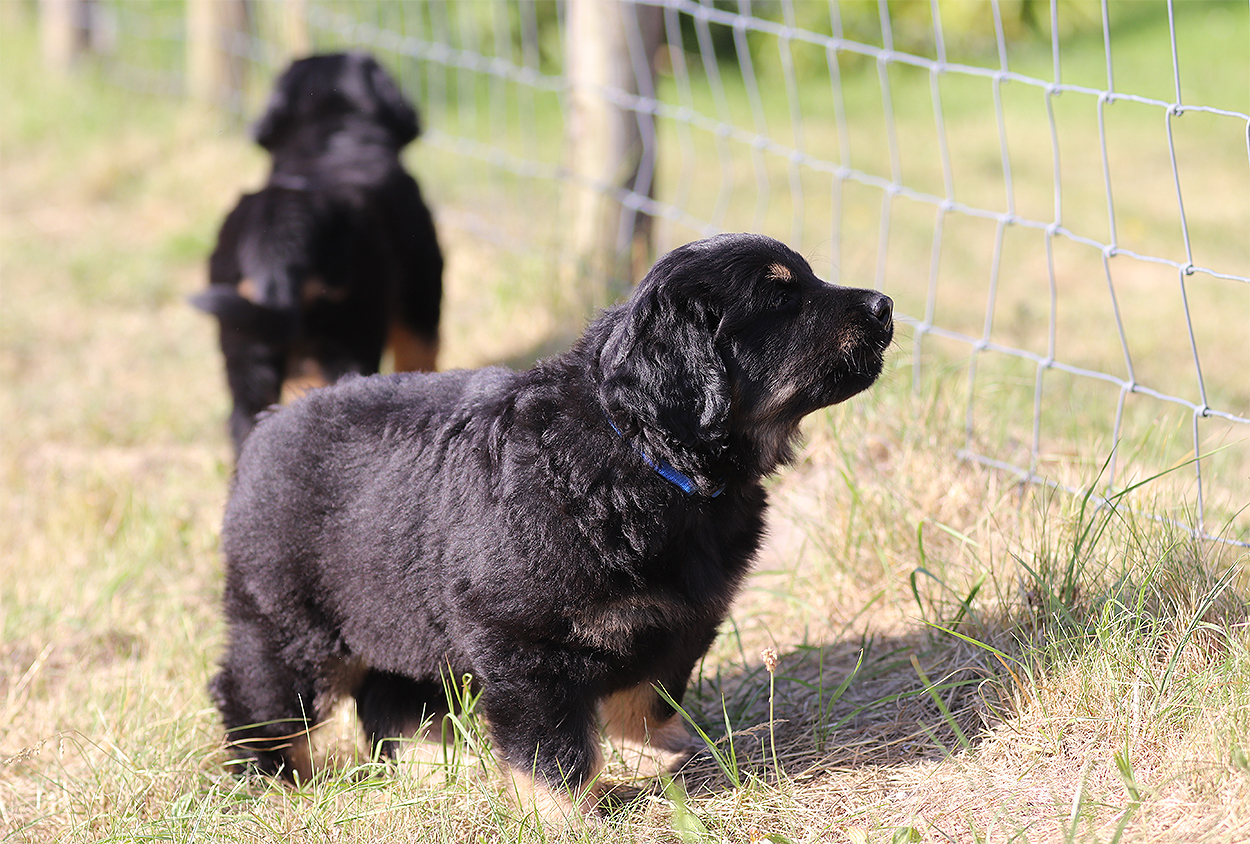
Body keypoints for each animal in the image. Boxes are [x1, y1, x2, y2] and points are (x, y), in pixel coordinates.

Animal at [193, 52, 443, 457]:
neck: (330, 143)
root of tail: (281, 224)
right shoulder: (421, 299)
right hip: (349, 332)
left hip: (243, 346)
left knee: (244, 422)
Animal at [208, 233, 893, 821]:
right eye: (781, 298)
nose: (885, 304)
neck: (645, 453)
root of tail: (270, 423)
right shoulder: (524, 637)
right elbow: (551, 742)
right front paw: (563, 811)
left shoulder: (679, 617)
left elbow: (648, 694)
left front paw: (660, 757)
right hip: (290, 619)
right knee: (256, 693)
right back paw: (275, 785)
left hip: (400, 614)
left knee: (393, 698)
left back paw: (437, 767)